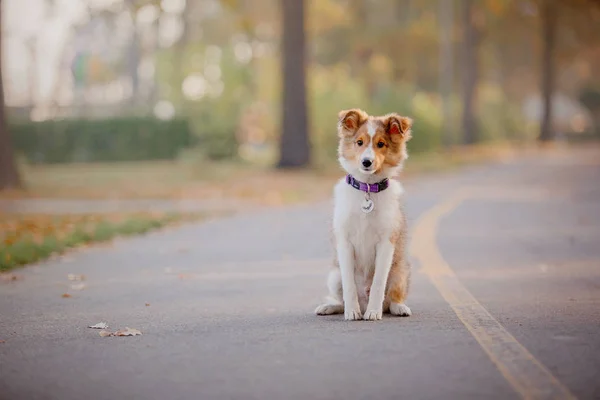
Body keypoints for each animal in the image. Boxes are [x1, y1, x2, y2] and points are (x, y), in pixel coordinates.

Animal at [314, 108, 412, 320]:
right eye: (359, 142)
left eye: (381, 144)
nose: (367, 162)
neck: (367, 188)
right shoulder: (344, 241)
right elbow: (349, 284)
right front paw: (352, 312)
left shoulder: (386, 242)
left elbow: (378, 283)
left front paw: (373, 312)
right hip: (334, 276)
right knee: (340, 299)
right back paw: (330, 307)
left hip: (400, 272)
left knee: (391, 300)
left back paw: (397, 308)